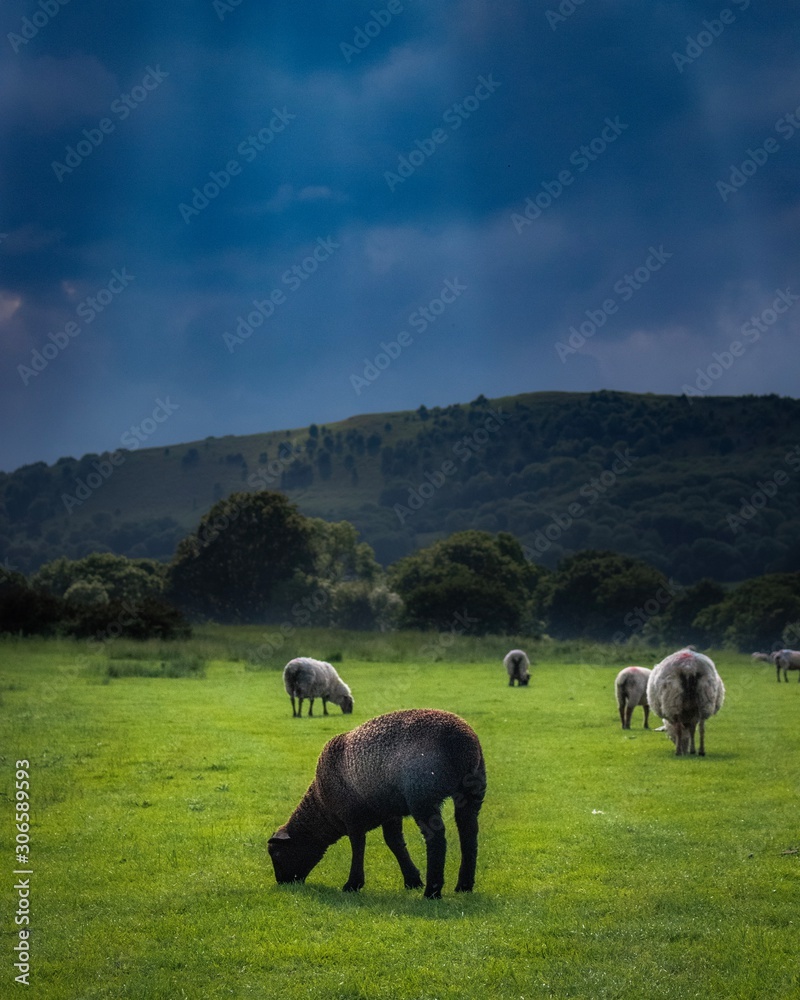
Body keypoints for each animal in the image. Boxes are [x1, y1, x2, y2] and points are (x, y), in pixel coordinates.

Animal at [268, 708, 486, 899]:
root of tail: (463, 745)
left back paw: (432, 892)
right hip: (472, 792)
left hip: (422, 795)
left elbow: (358, 846)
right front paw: (412, 880)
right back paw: (464, 885)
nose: (283, 882)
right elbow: (394, 842)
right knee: (469, 833)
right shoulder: (390, 812)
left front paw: (353, 884)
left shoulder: (352, 816)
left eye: (276, 854)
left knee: (437, 839)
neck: (322, 805)